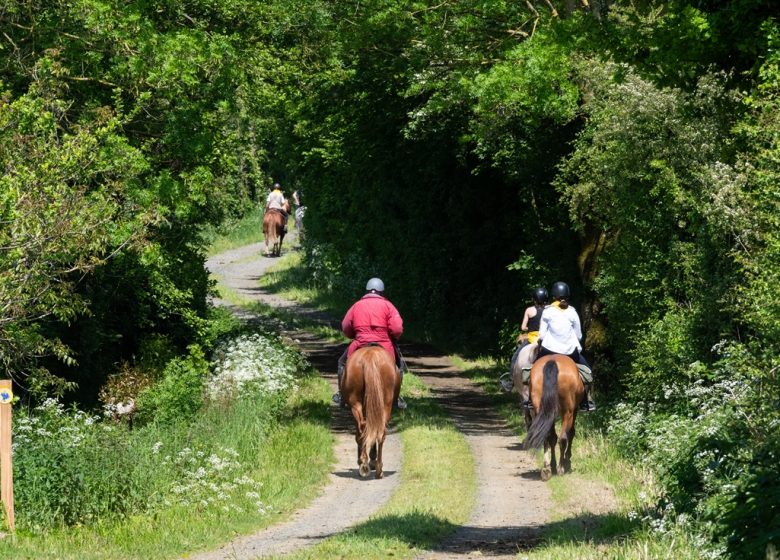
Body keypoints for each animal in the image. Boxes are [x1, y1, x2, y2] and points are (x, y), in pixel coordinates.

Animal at [342, 344, 402, 480]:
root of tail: (370, 356)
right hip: (384, 405)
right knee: (378, 432)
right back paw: (376, 468)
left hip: (356, 405)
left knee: (364, 429)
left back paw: (365, 465)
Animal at [524, 354, 584, 482]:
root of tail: (552, 361)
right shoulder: (574, 410)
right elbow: (571, 433)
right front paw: (567, 461)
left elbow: (552, 438)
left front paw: (552, 464)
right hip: (568, 412)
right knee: (563, 438)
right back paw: (561, 468)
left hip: (542, 409)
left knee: (546, 436)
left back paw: (546, 469)